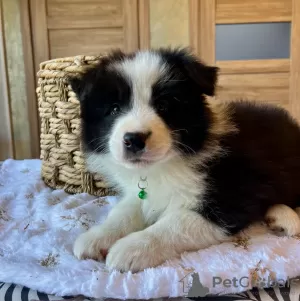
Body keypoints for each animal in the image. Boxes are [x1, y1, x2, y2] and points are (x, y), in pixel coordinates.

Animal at [69, 47, 300, 272]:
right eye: (114, 109)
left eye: (163, 106)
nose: (134, 139)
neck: (165, 165)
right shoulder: (143, 192)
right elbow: (124, 210)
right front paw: (97, 236)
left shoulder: (228, 198)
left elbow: (176, 223)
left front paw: (131, 248)